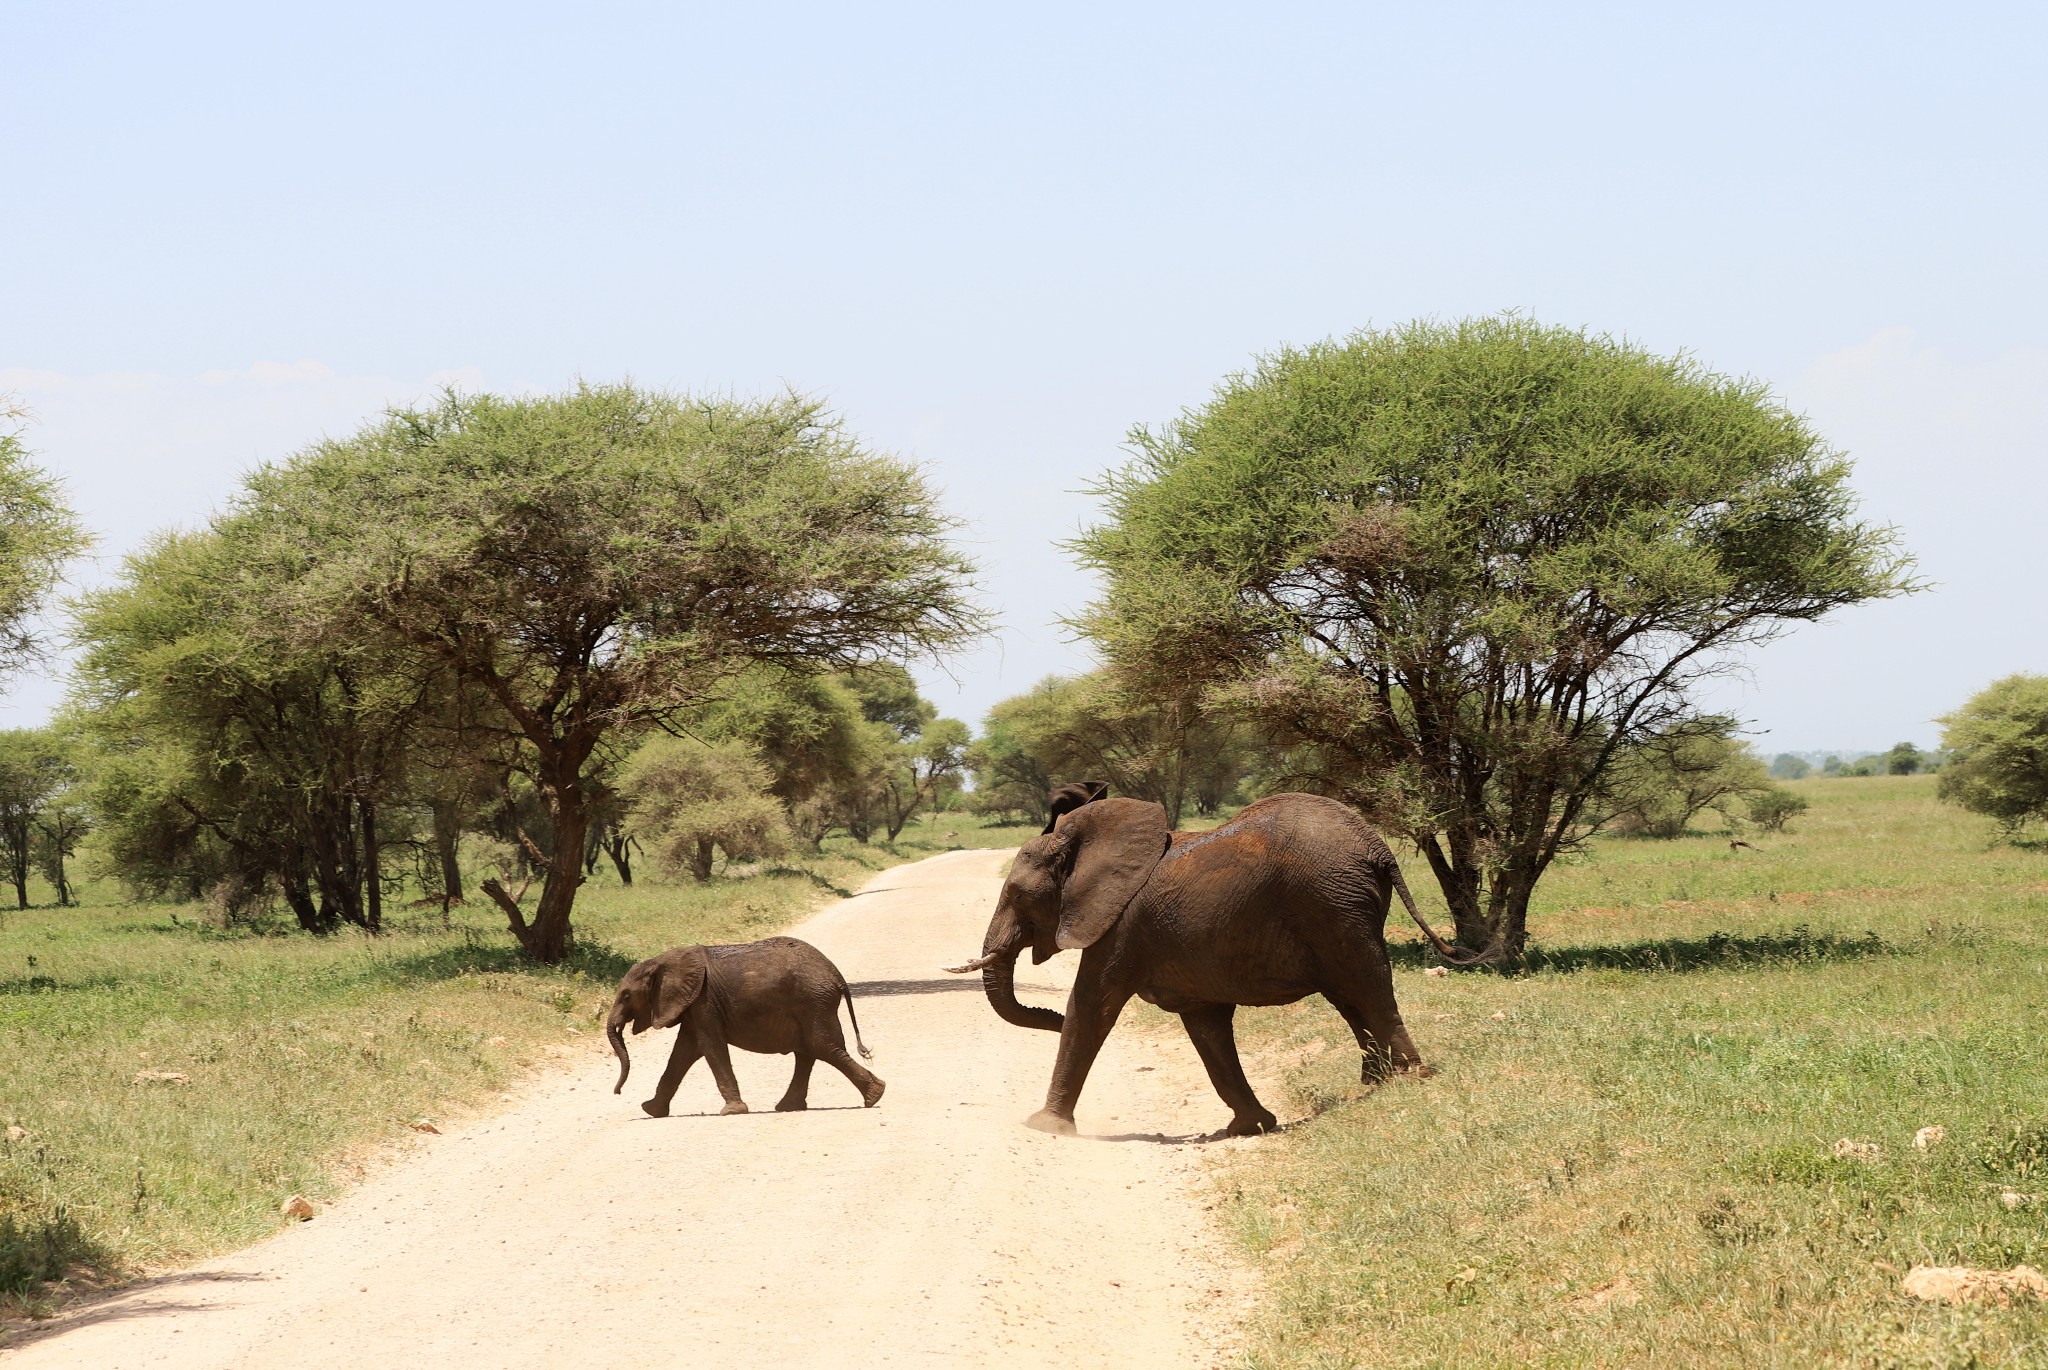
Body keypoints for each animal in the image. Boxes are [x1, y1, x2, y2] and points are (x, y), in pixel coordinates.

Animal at [598, 933, 876, 1114]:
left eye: (626, 995)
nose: (617, 1092)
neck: (662, 961)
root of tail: (837, 976)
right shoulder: (694, 1007)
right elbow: (683, 1052)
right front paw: (651, 1110)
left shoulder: (704, 1001)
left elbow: (710, 1048)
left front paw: (732, 1112)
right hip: (811, 1005)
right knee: (809, 1052)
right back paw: (789, 1107)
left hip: (813, 1003)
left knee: (824, 1047)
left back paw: (874, 1096)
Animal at [942, 790, 1474, 1130]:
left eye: (1017, 895)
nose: (1047, 1020)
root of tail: (1379, 848)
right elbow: (1205, 1026)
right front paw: (1250, 1127)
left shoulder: (1121, 924)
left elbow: (1092, 1006)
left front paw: (1043, 1127)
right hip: (1339, 906)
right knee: (1349, 995)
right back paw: (1372, 1085)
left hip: (1333, 904)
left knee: (1366, 984)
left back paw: (1412, 1078)